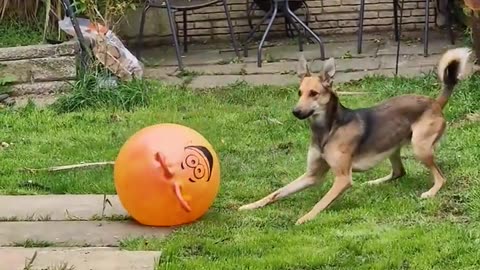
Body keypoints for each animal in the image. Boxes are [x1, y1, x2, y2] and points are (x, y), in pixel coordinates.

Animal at [238, 47, 470, 225]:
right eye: (299, 93)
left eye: (314, 93)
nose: (295, 112)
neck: (327, 129)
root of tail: (435, 103)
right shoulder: (312, 175)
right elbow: (277, 192)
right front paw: (250, 205)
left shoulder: (342, 179)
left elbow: (321, 202)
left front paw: (305, 218)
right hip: (392, 146)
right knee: (399, 172)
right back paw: (375, 182)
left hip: (420, 148)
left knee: (440, 177)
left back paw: (430, 192)